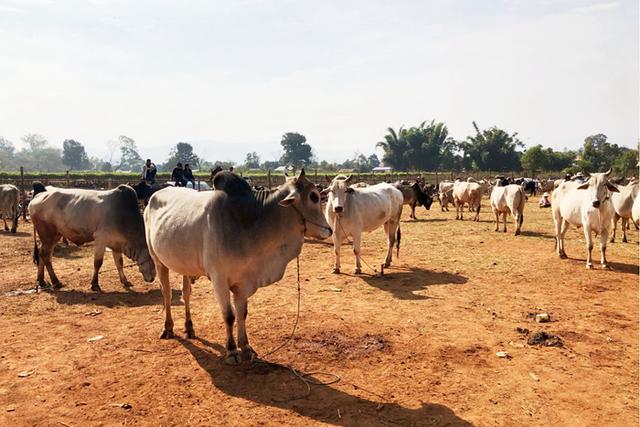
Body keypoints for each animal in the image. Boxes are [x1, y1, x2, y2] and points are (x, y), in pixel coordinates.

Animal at [28, 185, 156, 290]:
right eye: (153, 259)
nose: (153, 278)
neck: (124, 217)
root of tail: (38, 196)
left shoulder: (116, 244)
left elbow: (119, 263)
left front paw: (125, 281)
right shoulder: (101, 239)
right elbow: (98, 263)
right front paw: (95, 284)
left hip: (53, 236)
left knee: (43, 254)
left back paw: (42, 280)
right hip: (47, 235)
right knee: (45, 255)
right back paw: (56, 282)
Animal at [143, 170, 330, 364]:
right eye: (314, 196)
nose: (329, 230)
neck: (248, 220)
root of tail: (154, 196)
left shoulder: (243, 281)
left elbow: (242, 313)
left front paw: (246, 348)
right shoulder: (219, 279)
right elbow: (229, 315)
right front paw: (232, 350)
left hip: (185, 266)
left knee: (186, 293)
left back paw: (189, 328)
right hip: (158, 260)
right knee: (167, 293)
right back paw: (168, 328)